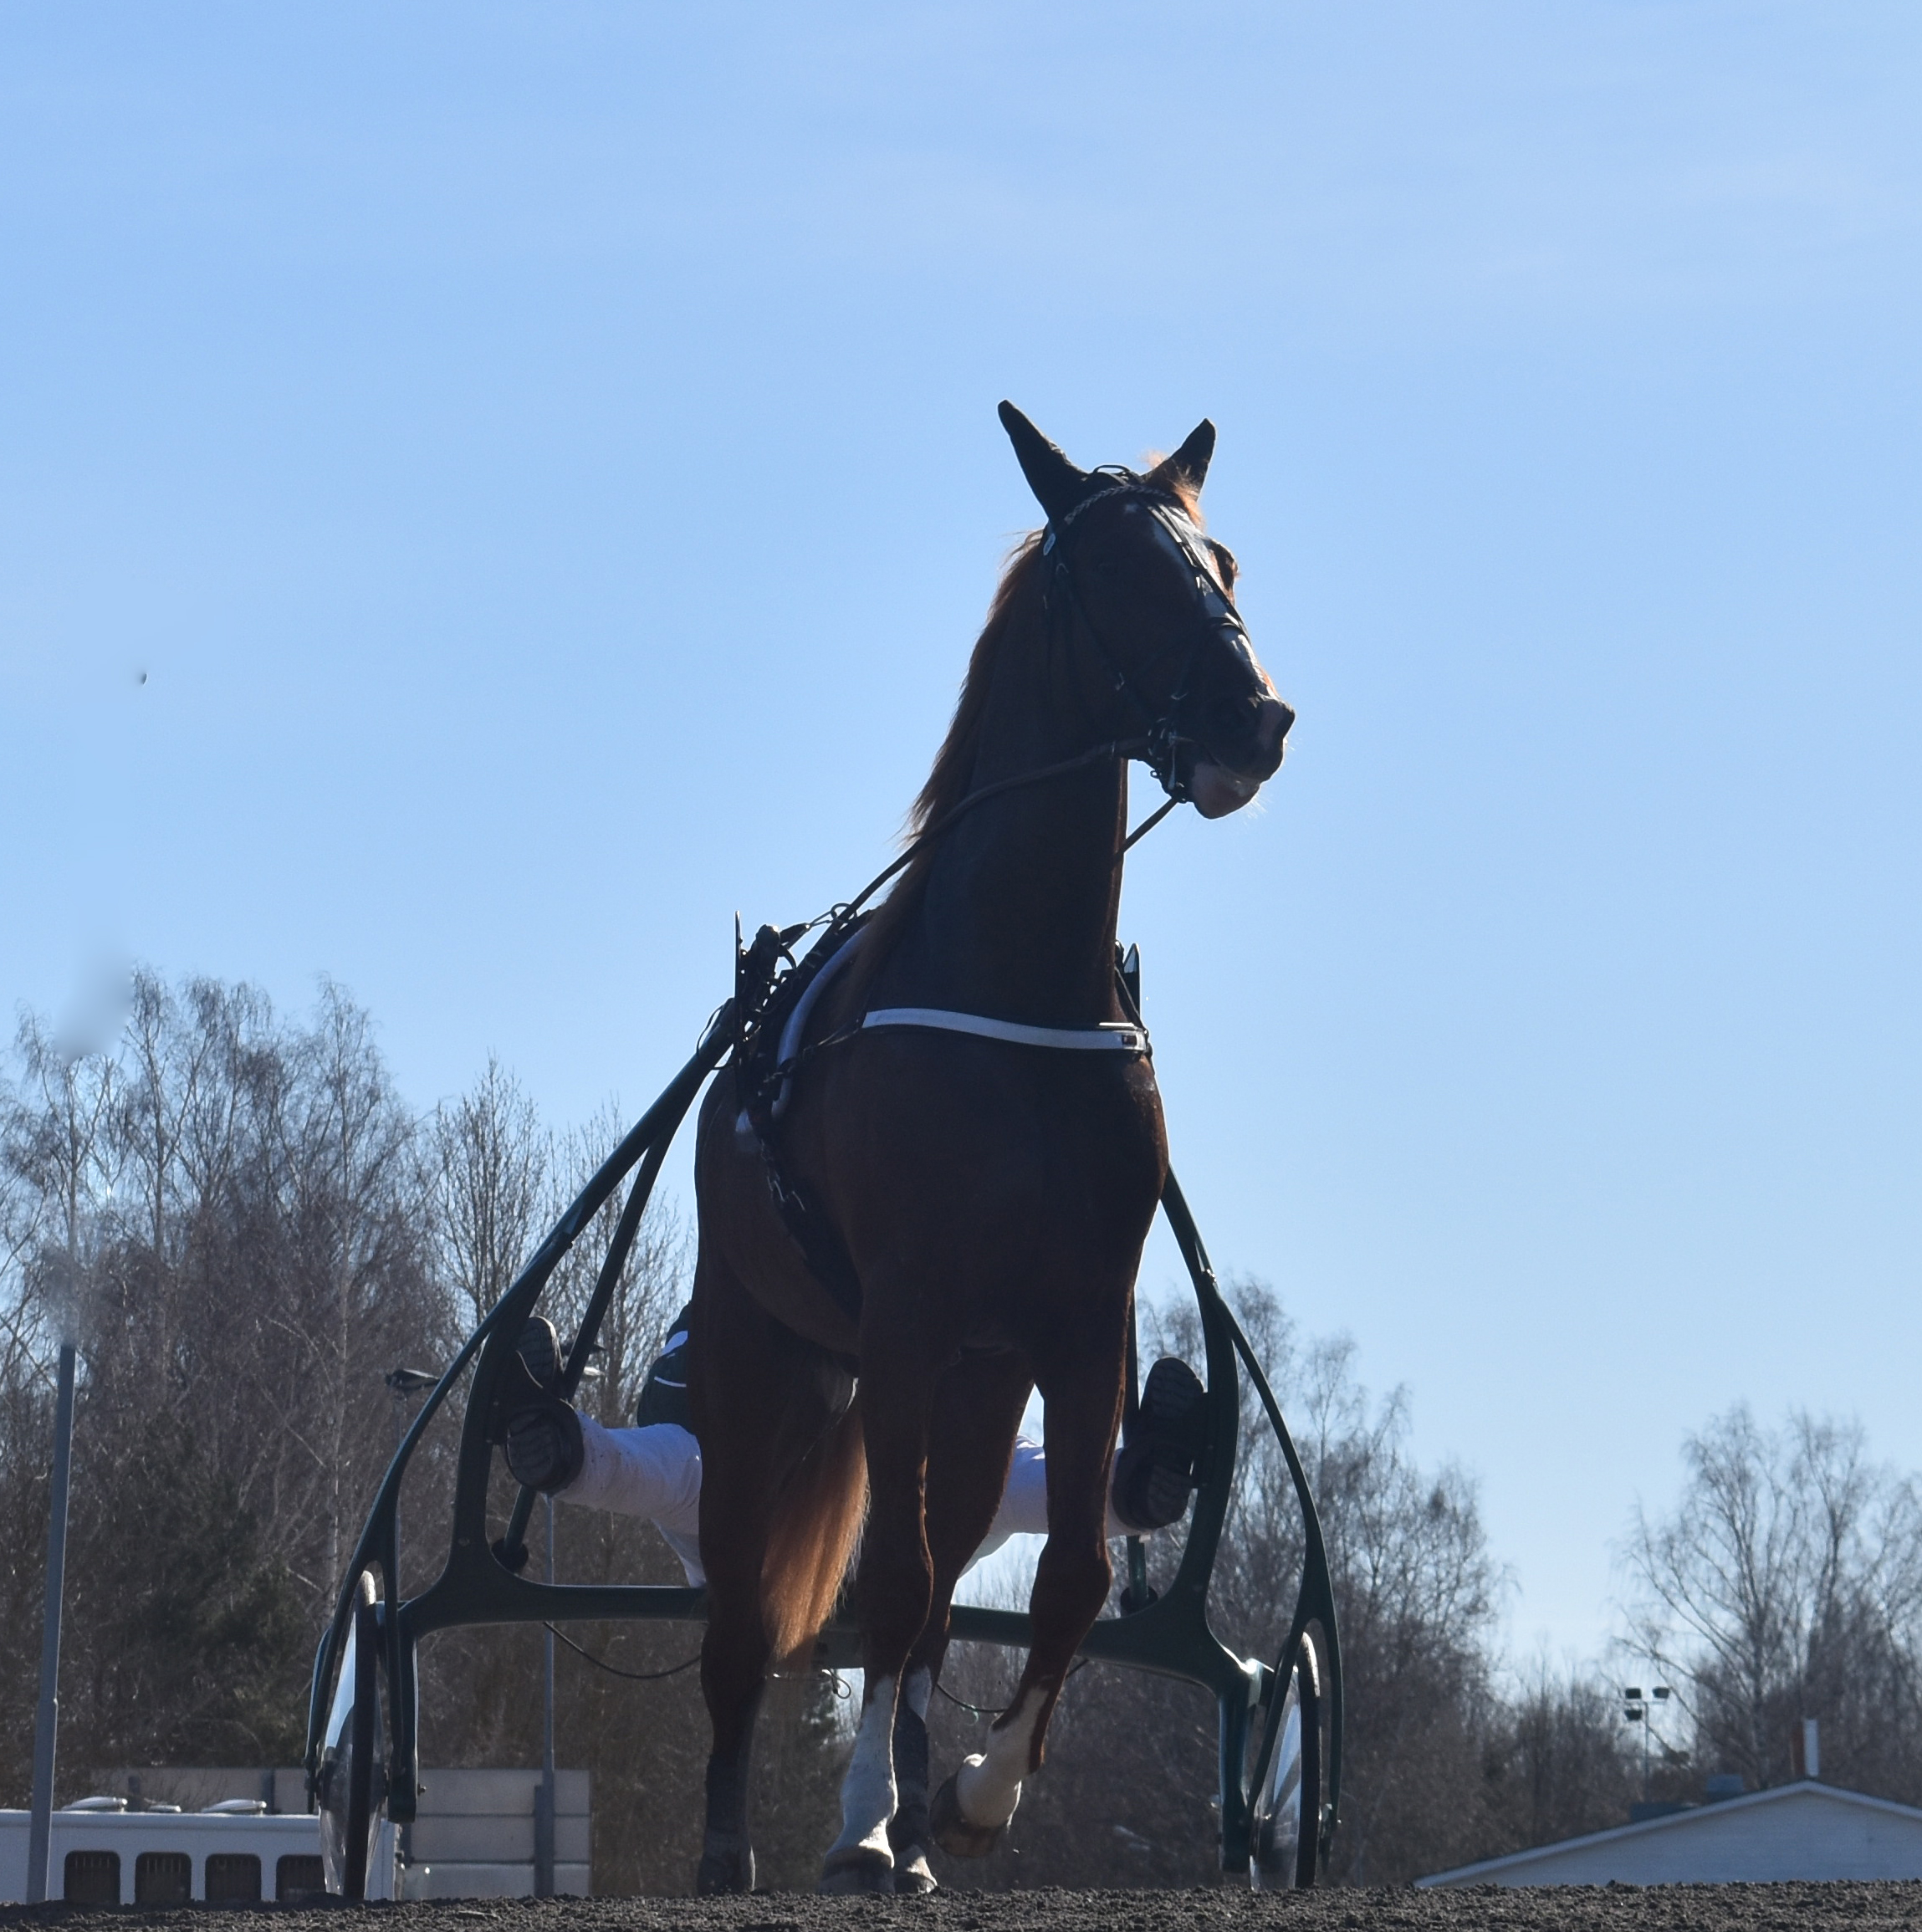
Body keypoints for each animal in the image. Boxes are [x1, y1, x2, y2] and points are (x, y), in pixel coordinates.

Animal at [683, 400, 1282, 1893]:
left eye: (1222, 560)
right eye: (1122, 569)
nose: (1257, 716)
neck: (1017, 994)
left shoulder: (1079, 1318)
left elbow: (1063, 1575)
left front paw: (964, 1795)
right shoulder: (902, 1313)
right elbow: (886, 1584)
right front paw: (860, 1824)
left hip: (978, 1374)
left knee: (950, 1575)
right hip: (759, 1353)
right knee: (750, 1607)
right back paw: (740, 1841)